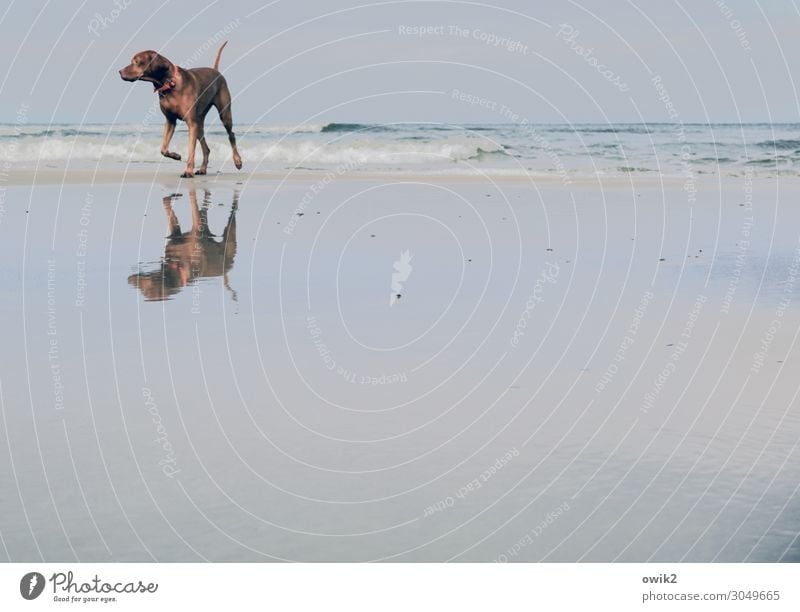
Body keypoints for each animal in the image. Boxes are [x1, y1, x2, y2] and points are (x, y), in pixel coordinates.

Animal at [119, 42, 242, 177]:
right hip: (199, 122)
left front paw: (188, 171)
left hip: (224, 114)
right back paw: (203, 169)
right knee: (206, 148)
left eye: (136, 62)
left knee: (231, 135)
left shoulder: (191, 123)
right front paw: (176, 155)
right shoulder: (170, 121)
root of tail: (216, 71)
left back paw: (238, 161)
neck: (169, 84)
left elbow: (191, 150)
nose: (119, 71)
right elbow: (163, 149)